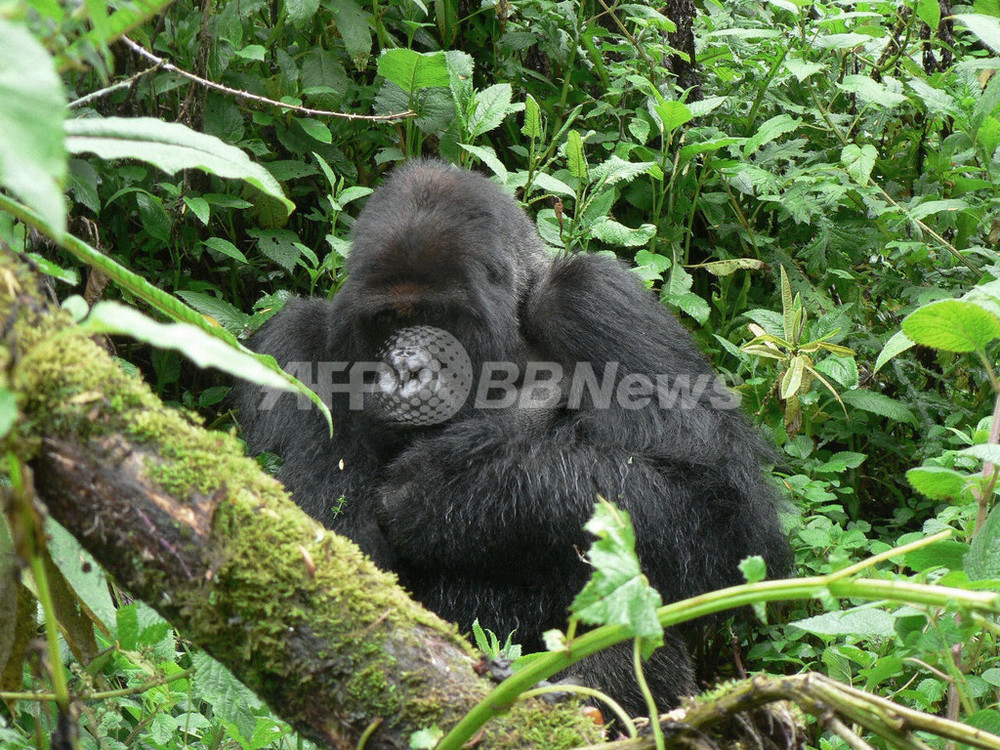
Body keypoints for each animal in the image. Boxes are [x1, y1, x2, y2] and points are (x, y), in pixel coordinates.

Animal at [234, 159, 788, 716]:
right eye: (389, 318)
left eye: (438, 316)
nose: (407, 371)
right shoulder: (293, 347)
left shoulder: (596, 300)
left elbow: (722, 514)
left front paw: (448, 491)